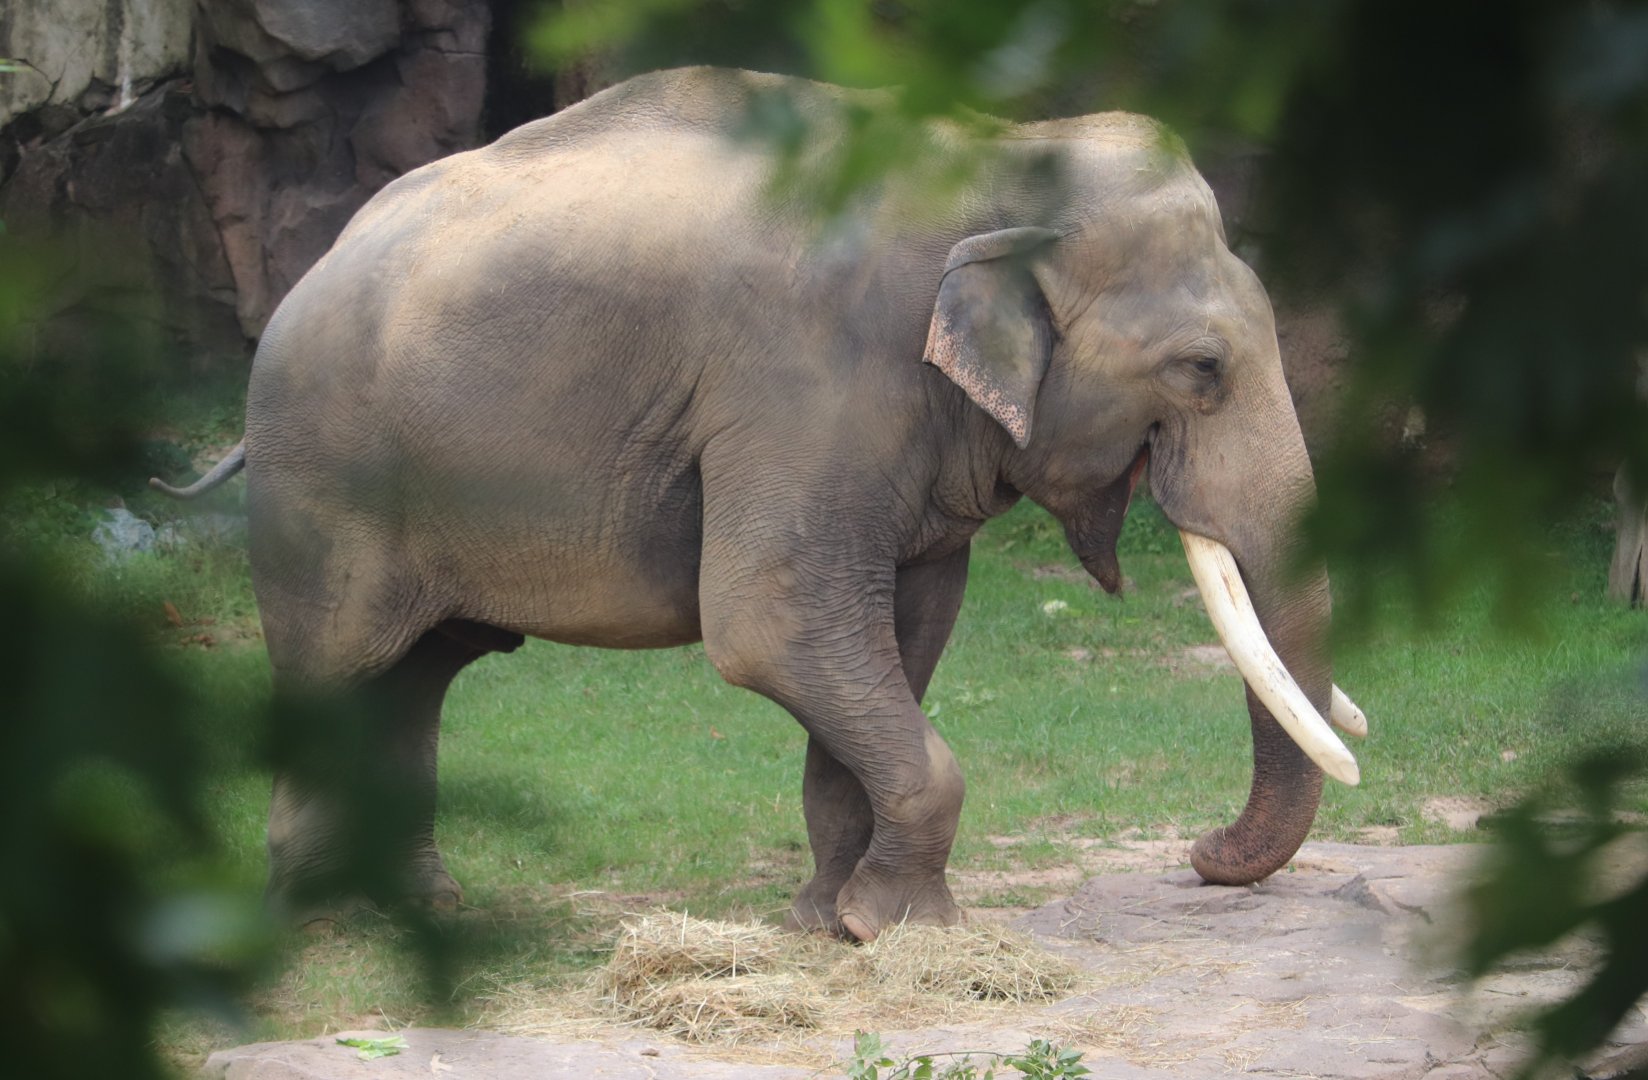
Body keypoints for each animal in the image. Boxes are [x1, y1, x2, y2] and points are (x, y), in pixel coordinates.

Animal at [156, 66, 1366, 941]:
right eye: (1201, 369)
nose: (1201, 855)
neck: (992, 154)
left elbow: (900, 632)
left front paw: (833, 923)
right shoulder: (800, 388)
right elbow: (773, 625)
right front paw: (909, 933)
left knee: (417, 675)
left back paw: (420, 911)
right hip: (325, 477)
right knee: (339, 666)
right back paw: (310, 925)